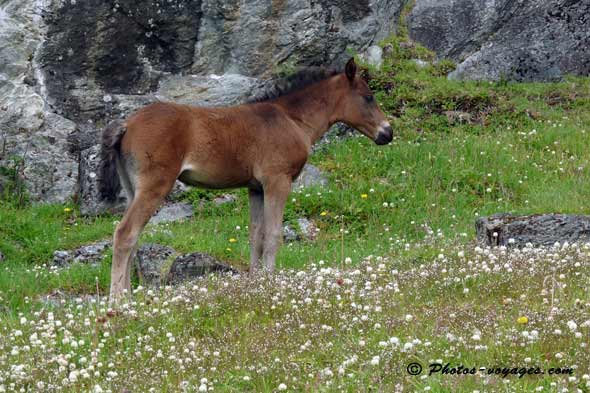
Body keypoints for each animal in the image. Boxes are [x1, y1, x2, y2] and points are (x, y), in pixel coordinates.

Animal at [99, 58, 396, 298]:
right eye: (368, 97)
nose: (387, 133)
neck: (292, 120)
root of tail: (127, 124)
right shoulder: (277, 180)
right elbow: (274, 234)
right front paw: (271, 282)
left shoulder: (255, 188)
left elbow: (257, 236)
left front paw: (255, 283)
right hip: (155, 185)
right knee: (125, 233)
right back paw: (118, 302)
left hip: (133, 189)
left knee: (133, 237)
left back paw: (130, 298)